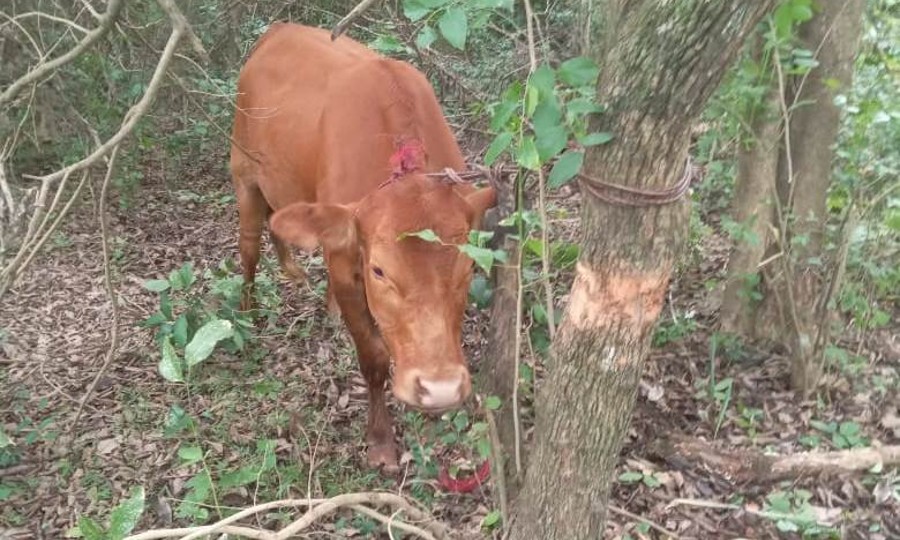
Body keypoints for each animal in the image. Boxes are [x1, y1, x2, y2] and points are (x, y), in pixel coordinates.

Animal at [232, 23, 496, 470]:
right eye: (379, 271)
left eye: (467, 269)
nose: (440, 388)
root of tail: (279, 29)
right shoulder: (345, 267)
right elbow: (372, 358)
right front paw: (380, 440)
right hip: (243, 173)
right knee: (249, 245)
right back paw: (248, 313)